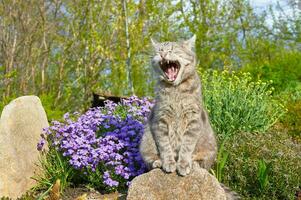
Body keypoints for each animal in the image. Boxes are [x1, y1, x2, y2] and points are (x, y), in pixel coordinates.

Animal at [139, 35, 217, 176]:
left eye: (172, 50)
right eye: (159, 51)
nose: (163, 54)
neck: (175, 89)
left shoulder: (193, 120)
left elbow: (187, 146)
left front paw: (184, 164)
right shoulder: (160, 120)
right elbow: (165, 145)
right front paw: (169, 163)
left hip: (210, 150)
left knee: (202, 164)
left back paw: (194, 163)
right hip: (145, 142)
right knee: (150, 160)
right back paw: (158, 162)